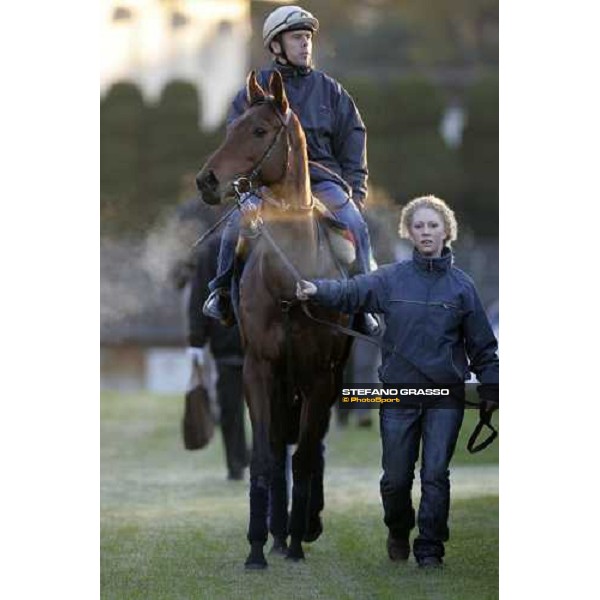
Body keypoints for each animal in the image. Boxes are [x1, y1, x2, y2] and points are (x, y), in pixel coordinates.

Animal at [197, 72, 350, 568]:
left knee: (310, 449)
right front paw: (257, 547)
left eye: (260, 131)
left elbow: (305, 457)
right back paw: (279, 532)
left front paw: (300, 540)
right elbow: (265, 457)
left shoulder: (320, 375)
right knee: (282, 446)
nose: (206, 180)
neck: (290, 280)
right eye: (231, 127)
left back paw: (302, 526)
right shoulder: (259, 368)